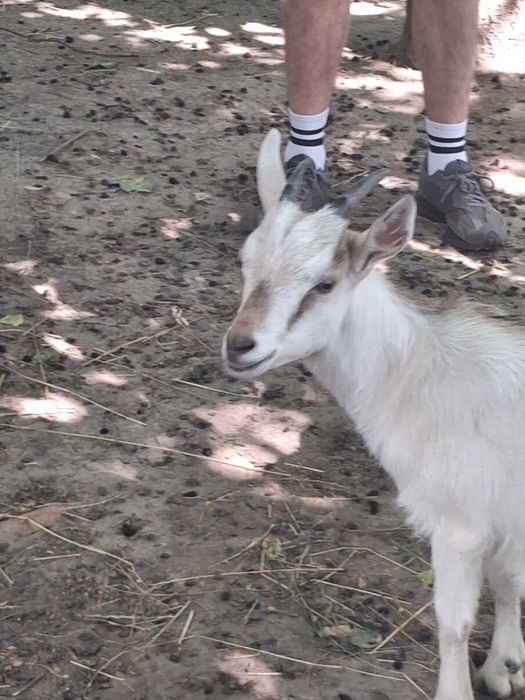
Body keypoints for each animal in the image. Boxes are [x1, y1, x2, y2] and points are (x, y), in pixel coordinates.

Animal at [221, 128, 525, 700]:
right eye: (246, 261)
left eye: (324, 284)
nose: (240, 346)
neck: (425, 373)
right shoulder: (503, 515)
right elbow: (508, 579)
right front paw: (505, 667)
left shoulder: (461, 523)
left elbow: (455, 622)